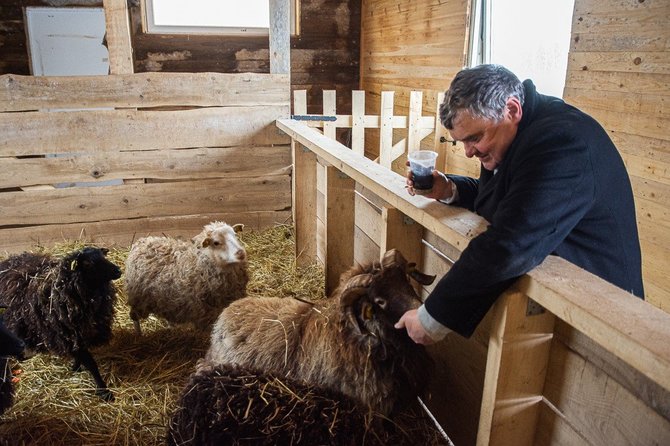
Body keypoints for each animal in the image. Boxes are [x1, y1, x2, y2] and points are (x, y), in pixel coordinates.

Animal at [0, 247, 121, 400]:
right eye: (89, 264)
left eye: (103, 257)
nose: (118, 270)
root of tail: (8, 260)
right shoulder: (68, 333)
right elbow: (91, 364)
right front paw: (103, 391)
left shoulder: (77, 335)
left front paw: (76, 366)